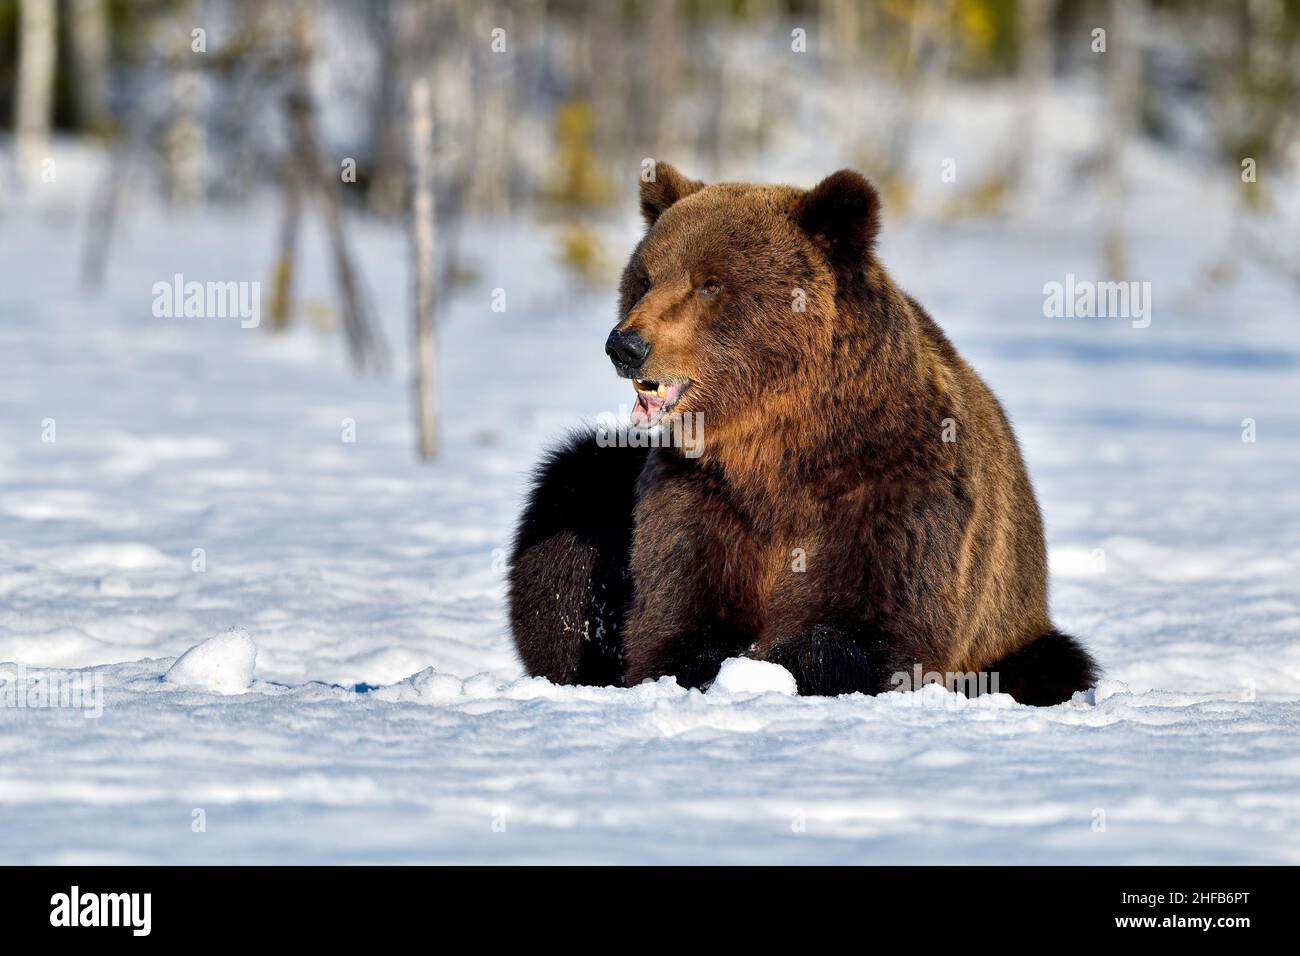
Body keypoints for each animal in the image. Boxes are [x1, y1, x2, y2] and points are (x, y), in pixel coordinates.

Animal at [506, 162, 1097, 702]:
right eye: (645, 277)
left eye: (710, 283)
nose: (625, 344)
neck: (782, 447)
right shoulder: (700, 494)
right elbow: (675, 620)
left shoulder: (896, 490)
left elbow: (865, 630)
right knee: (574, 484)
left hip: (1013, 629)